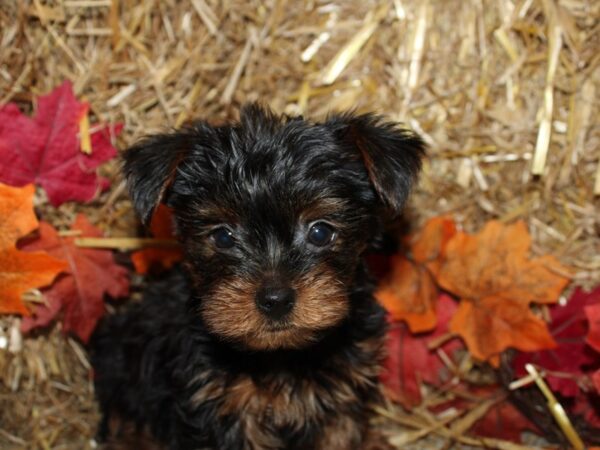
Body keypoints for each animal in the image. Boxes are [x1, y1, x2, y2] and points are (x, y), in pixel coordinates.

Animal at [91, 104, 424, 450]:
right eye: (223, 236)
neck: (281, 356)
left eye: (321, 231)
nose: (275, 299)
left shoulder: (341, 401)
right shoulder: (222, 408)